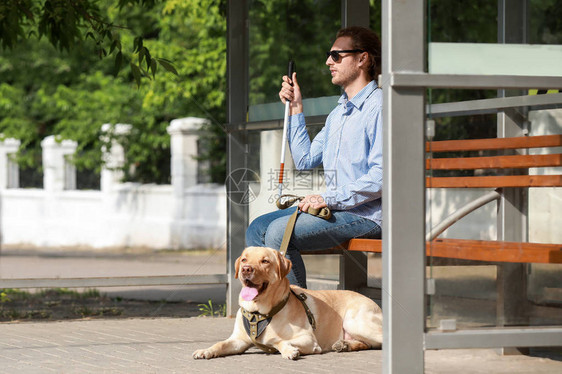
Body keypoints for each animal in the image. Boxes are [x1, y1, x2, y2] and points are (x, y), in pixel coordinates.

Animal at [191, 245, 380, 360]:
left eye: (265, 261)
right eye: (244, 259)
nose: (246, 269)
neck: (259, 313)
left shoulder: (308, 338)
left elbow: (275, 340)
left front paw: (289, 349)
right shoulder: (238, 340)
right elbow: (220, 343)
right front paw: (206, 350)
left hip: (354, 321)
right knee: (369, 343)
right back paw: (345, 344)